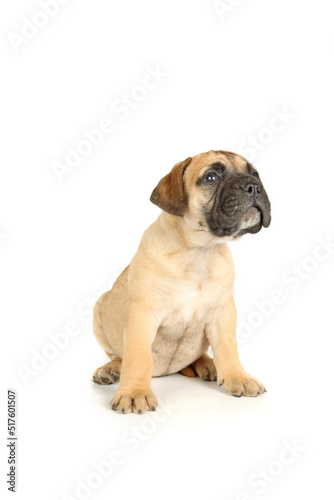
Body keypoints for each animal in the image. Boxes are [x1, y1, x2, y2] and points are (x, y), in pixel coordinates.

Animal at [91, 149, 272, 414]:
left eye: (255, 173)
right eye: (211, 177)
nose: (253, 187)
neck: (199, 252)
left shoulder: (223, 313)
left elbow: (228, 348)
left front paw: (237, 376)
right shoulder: (142, 315)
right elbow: (137, 357)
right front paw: (134, 392)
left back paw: (210, 365)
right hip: (100, 307)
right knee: (118, 356)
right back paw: (111, 370)